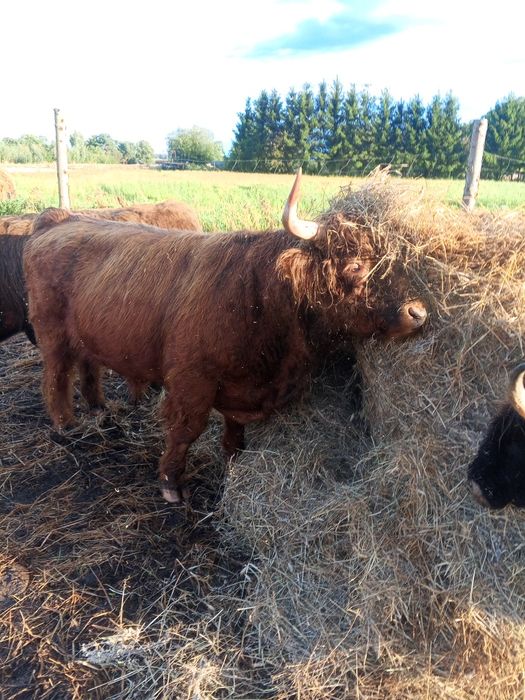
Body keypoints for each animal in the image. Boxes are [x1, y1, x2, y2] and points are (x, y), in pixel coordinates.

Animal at [24, 169, 428, 504]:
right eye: (355, 266)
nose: (418, 312)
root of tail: (58, 220)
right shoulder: (191, 380)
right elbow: (186, 430)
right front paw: (171, 483)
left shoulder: (242, 386)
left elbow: (235, 425)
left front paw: (234, 459)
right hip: (52, 333)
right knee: (55, 377)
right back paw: (67, 425)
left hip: (84, 334)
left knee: (88, 368)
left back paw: (100, 410)